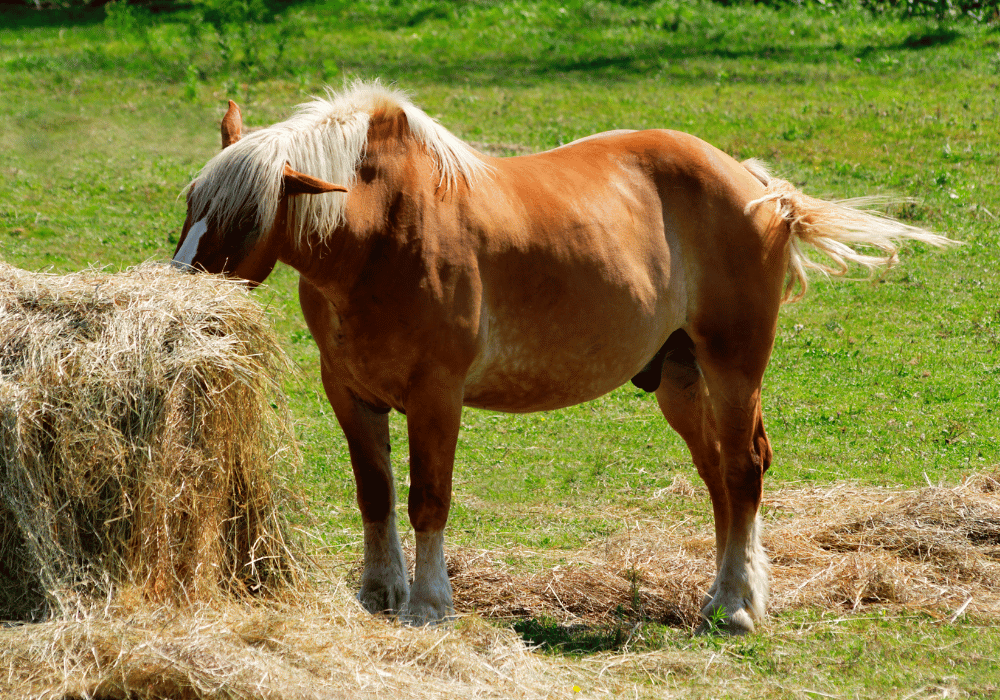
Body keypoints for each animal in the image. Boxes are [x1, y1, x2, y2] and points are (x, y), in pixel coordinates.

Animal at [174, 79, 952, 632]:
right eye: (189, 202)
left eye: (247, 214)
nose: (180, 286)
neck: (384, 233)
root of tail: (763, 192)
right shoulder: (351, 394)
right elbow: (376, 494)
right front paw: (378, 594)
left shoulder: (436, 398)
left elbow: (428, 499)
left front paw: (429, 605)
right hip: (681, 380)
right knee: (722, 481)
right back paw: (731, 591)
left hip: (733, 367)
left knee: (742, 470)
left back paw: (734, 604)